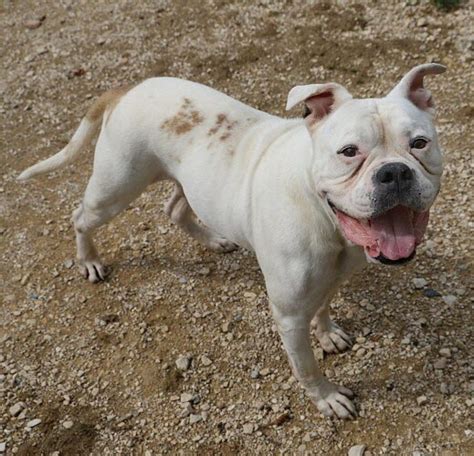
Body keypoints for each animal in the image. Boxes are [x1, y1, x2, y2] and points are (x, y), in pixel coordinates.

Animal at [18, 64, 446, 420]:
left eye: (420, 144)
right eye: (349, 152)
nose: (394, 172)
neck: (321, 211)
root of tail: (128, 88)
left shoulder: (333, 277)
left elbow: (324, 306)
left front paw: (327, 334)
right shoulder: (289, 315)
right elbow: (306, 366)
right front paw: (326, 397)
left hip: (186, 183)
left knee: (175, 209)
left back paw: (215, 240)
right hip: (115, 190)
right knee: (81, 218)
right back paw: (89, 260)